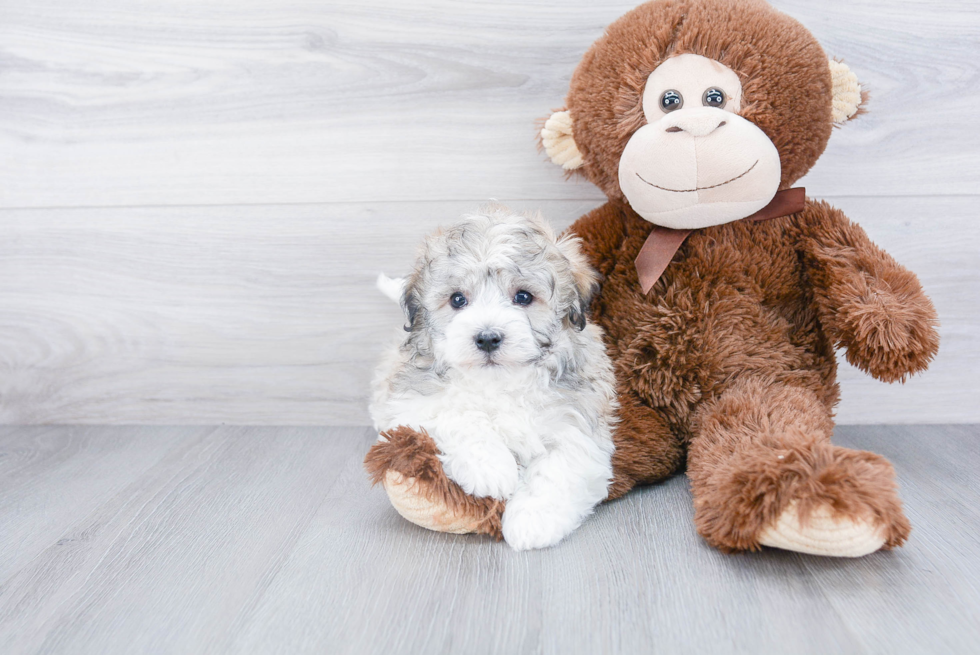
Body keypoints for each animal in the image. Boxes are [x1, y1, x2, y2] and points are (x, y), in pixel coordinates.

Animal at [372, 204, 616, 548]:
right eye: (458, 299)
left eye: (523, 297)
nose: (487, 338)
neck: (501, 381)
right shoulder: (414, 401)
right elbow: (457, 414)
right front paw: (491, 467)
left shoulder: (578, 423)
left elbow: (558, 469)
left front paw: (533, 520)